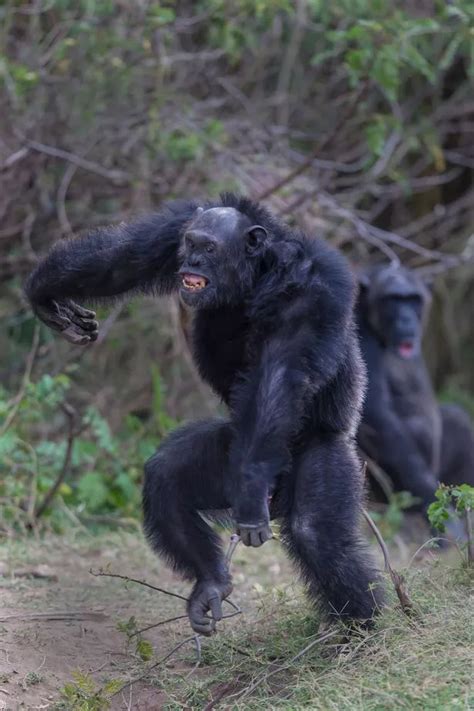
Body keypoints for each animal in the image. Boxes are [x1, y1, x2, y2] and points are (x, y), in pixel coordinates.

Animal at [25, 195, 384, 636]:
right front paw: (43, 294)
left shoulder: (310, 287)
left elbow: (281, 372)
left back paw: (361, 631)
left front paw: (252, 485)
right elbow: (120, 259)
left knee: (315, 532)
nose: (193, 261)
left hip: (325, 453)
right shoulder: (170, 233)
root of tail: (277, 496)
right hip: (226, 454)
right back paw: (211, 581)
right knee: (166, 476)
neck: (255, 273)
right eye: (191, 243)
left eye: (209, 248)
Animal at [358, 264, 472, 536]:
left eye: (412, 299)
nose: (406, 318)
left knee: (457, 418)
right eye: (393, 299)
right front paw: (445, 520)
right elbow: (379, 419)